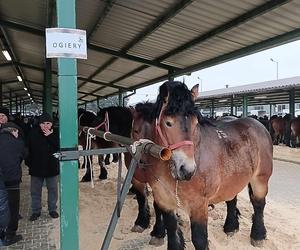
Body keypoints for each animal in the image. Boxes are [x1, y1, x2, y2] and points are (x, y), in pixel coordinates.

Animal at [131, 81, 272, 250]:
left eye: (195, 123)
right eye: (168, 123)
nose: (187, 169)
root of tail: (258, 125)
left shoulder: (198, 206)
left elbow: (199, 239)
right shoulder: (164, 201)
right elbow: (172, 231)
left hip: (260, 179)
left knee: (259, 204)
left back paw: (257, 235)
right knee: (232, 198)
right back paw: (231, 227)